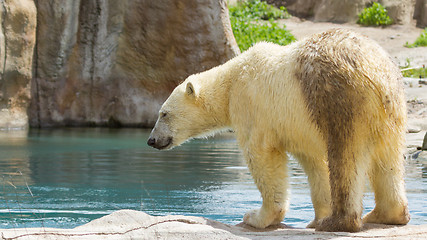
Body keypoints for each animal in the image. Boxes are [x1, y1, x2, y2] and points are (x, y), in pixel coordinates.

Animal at [147, 28, 412, 232]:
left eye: (164, 114)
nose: (151, 140)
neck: (231, 81)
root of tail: (378, 77)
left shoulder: (253, 107)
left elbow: (262, 156)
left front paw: (257, 217)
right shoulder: (300, 130)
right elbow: (315, 164)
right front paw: (316, 216)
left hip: (340, 100)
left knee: (346, 156)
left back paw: (337, 222)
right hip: (392, 111)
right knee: (387, 160)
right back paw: (384, 214)